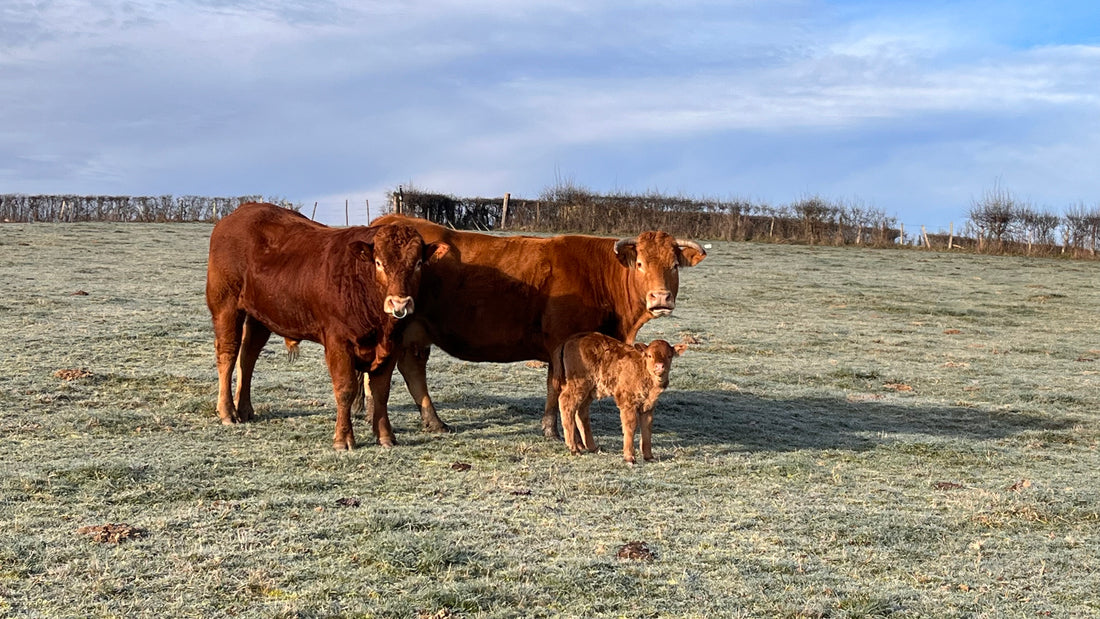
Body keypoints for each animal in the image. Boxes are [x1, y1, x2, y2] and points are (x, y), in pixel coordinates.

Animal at [206, 203, 446, 450]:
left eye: (418, 264)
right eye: (379, 263)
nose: (399, 303)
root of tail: (241, 212)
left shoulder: (391, 345)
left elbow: (381, 392)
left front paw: (385, 436)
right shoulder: (338, 342)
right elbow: (345, 389)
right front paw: (343, 438)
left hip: (260, 316)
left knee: (248, 357)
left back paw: (244, 408)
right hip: (226, 304)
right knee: (228, 354)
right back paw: (227, 411)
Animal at [369, 215, 704, 437]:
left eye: (674, 265)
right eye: (641, 264)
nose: (660, 297)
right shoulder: (561, 343)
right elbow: (556, 386)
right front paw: (552, 429)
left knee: (411, 370)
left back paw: (430, 421)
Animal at [558, 334, 686, 466]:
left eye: (669, 356)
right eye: (649, 355)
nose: (659, 366)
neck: (642, 369)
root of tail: (573, 339)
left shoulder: (648, 406)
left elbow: (647, 428)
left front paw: (649, 457)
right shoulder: (627, 403)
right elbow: (630, 427)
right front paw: (629, 458)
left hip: (589, 391)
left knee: (581, 412)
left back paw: (593, 447)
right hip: (579, 384)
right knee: (566, 403)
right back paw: (574, 449)